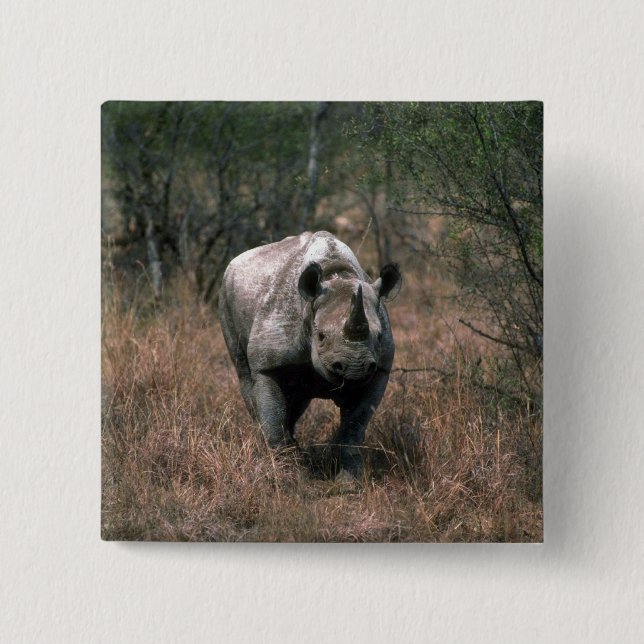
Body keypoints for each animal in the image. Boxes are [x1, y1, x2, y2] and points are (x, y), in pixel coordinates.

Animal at [218, 231, 402, 476]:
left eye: (380, 336)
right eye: (321, 336)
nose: (355, 367)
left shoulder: (379, 370)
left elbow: (355, 426)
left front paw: (349, 479)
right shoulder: (268, 364)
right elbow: (272, 416)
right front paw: (285, 474)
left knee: (297, 398)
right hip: (226, 292)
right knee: (245, 375)